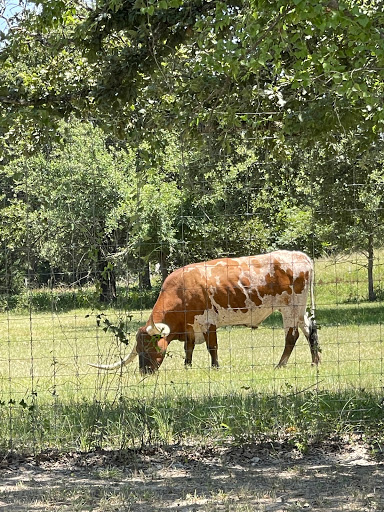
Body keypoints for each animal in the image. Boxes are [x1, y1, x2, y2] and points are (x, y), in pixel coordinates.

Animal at [90, 250, 318, 374]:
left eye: (149, 347)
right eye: (139, 349)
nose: (144, 372)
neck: (180, 291)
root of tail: (301, 256)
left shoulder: (208, 321)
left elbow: (212, 347)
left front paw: (215, 367)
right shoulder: (190, 326)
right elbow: (188, 349)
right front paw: (187, 366)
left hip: (290, 308)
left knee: (292, 336)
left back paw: (280, 365)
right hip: (299, 310)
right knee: (310, 329)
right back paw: (315, 362)